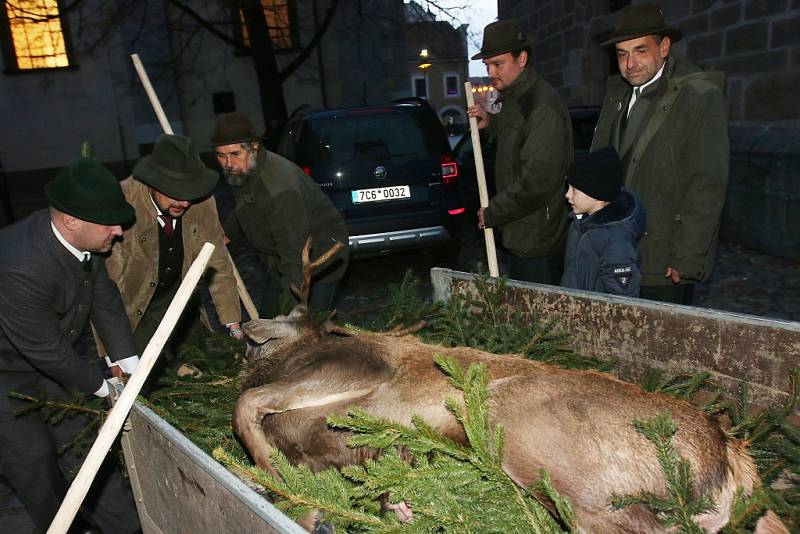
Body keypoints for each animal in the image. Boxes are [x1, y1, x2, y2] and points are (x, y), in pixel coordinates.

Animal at [234, 241, 784, 532]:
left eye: (287, 319)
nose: (243, 328)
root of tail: (732, 459)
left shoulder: (355, 365)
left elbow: (246, 405)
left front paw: (273, 479)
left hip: (541, 448)